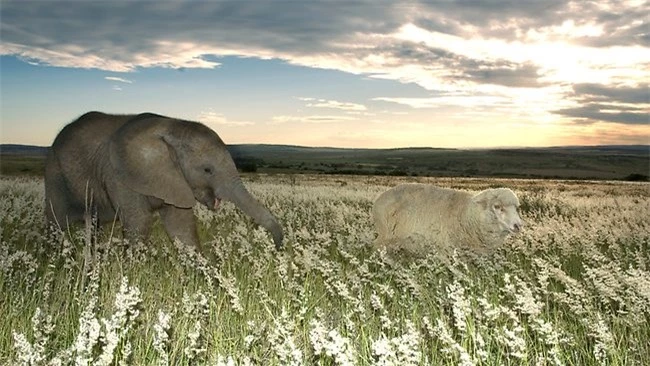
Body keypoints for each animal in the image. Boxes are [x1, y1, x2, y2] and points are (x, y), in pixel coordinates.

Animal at [43, 110, 280, 250]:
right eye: (207, 170)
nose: (278, 247)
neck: (171, 126)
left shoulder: (175, 180)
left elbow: (181, 227)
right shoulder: (119, 174)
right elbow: (139, 222)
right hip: (54, 172)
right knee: (57, 222)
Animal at [370, 184, 520, 256]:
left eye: (517, 208)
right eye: (497, 206)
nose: (518, 225)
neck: (467, 213)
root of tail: (379, 199)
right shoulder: (445, 247)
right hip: (385, 233)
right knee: (377, 246)